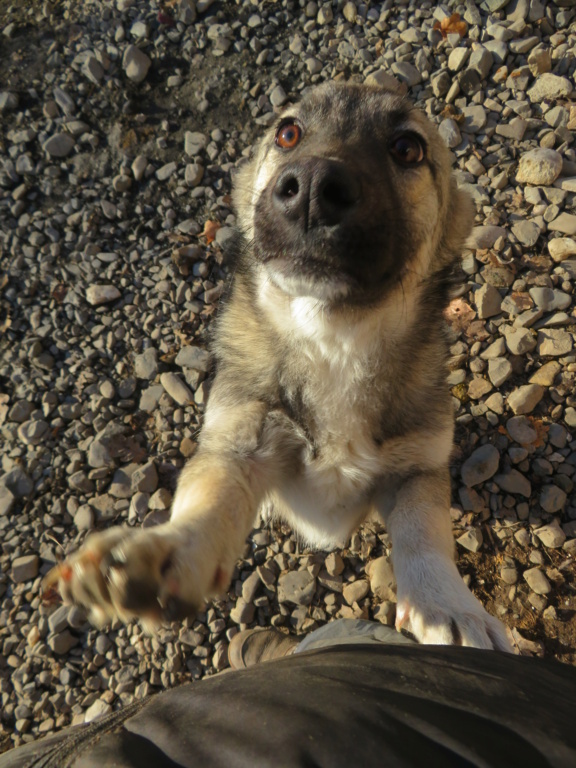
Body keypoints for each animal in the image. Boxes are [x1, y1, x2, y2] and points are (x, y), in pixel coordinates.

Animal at [46, 81, 512, 652]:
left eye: (408, 148)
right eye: (288, 133)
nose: (311, 186)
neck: (333, 338)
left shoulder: (417, 465)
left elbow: (426, 536)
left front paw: (449, 607)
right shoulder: (240, 444)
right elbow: (209, 504)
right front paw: (160, 555)